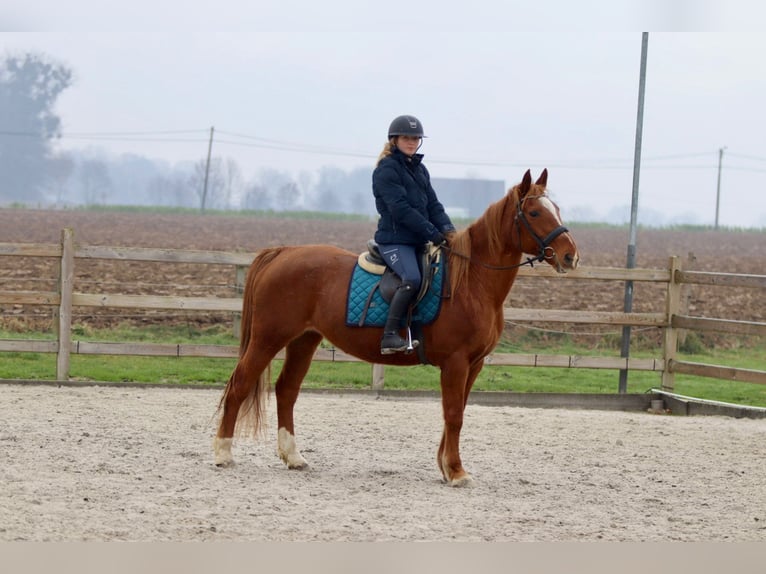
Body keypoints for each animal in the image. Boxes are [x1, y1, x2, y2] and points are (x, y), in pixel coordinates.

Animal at [214, 168, 579, 486]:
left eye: (557, 210)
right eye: (534, 212)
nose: (570, 256)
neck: (471, 282)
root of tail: (282, 253)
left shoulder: (473, 364)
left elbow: (456, 413)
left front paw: (446, 467)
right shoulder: (457, 363)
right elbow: (454, 414)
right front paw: (456, 472)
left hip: (304, 340)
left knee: (287, 390)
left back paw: (293, 457)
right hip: (268, 338)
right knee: (239, 384)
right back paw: (223, 453)